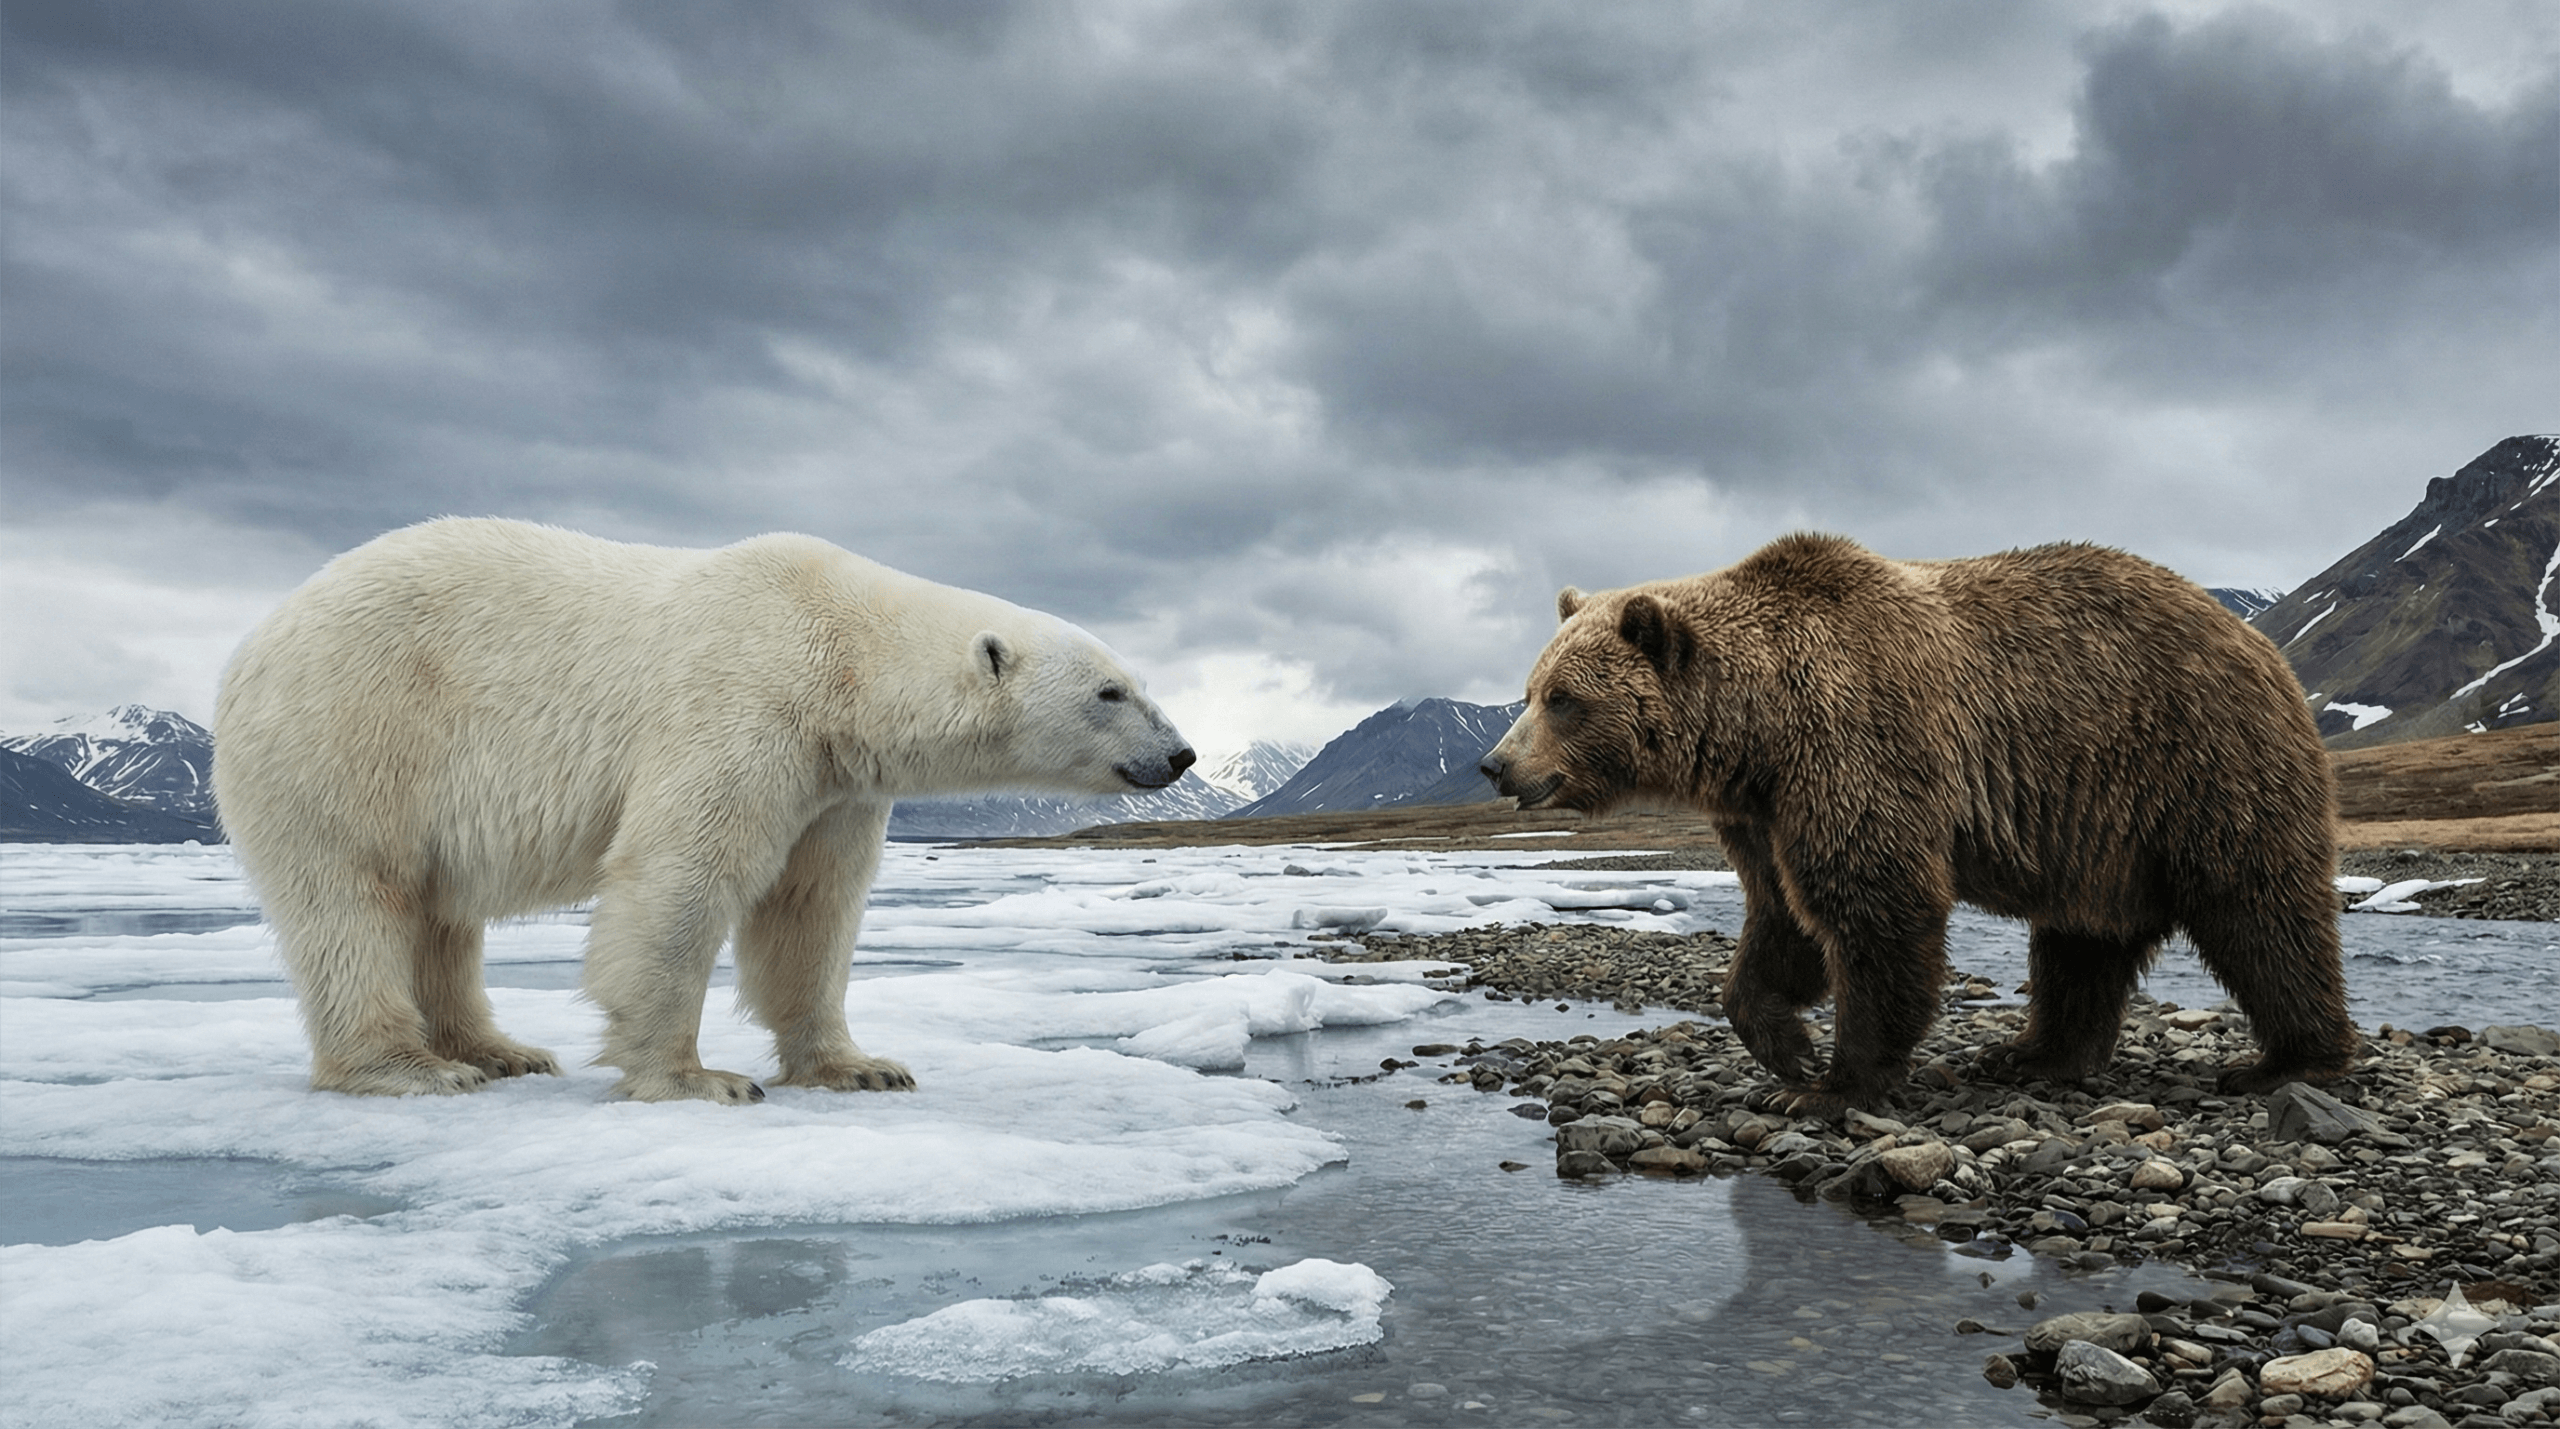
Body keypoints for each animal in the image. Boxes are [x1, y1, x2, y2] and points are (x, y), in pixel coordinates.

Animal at [214, 517, 1194, 1104]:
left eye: (1136, 680)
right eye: (1110, 691)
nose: (1181, 754)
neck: (840, 650)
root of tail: (253, 642)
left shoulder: (834, 781)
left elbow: (811, 909)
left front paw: (861, 1066)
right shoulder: (740, 703)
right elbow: (680, 876)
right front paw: (697, 1078)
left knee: (440, 913)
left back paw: (501, 1050)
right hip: (355, 732)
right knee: (354, 897)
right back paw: (411, 1066)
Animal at [1479, 532, 2355, 1116]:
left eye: (1562, 697)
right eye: (1530, 689)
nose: (1496, 765)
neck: (1757, 732)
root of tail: (2261, 640)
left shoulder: (1857, 743)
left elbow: (1875, 903)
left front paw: (1835, 1082)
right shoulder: (1766, 812)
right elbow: (1781, 921)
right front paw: (1786, 1046)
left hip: (2198, 763)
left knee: (2260, 909)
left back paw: (2289, 1062)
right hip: (2099, 828)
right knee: (2082, 941)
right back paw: (2032, 1052)